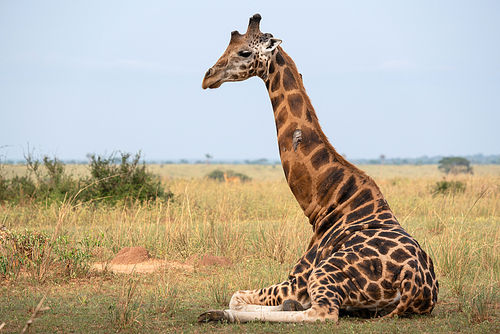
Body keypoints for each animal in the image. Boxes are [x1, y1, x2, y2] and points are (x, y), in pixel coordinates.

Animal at [199, 13, 438, 324]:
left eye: (244, 52)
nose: (208, 77)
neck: (326, 202)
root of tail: (414, 285)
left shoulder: (296, 279)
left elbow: (237, 296)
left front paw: (222, 311)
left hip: (324, 273)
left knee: (322, 313)